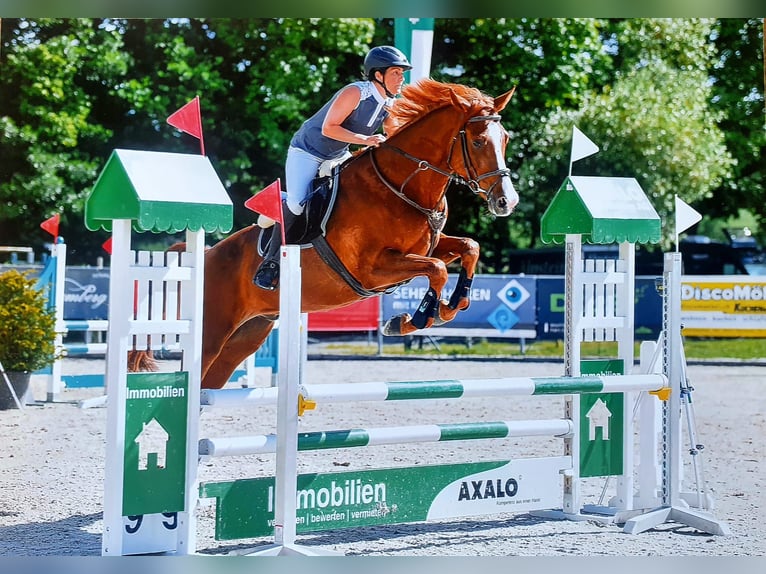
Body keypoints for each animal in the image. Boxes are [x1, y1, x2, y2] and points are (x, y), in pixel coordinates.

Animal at [140, 78, 520, 389]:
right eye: (478, 141)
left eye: (505, 139)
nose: (507, 201)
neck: (401, 187)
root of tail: (205, 255)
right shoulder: (371, 269)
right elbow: (438, 269)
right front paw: (414, 318)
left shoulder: (428, 247)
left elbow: (469, 247)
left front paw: (451, 306)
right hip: (211, 333)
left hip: (247, 334)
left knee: (210, 387)